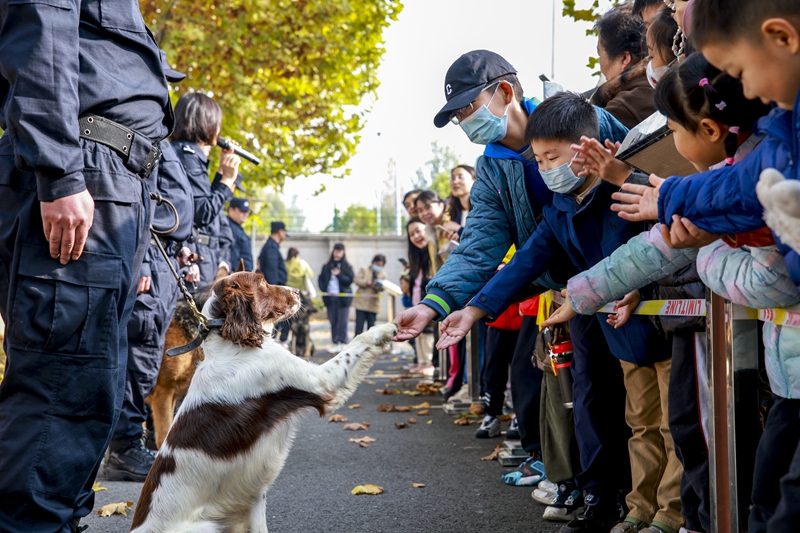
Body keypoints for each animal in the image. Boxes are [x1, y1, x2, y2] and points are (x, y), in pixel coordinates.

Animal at [131, 272, 396, 528]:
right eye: (261, 282)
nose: (297, 291)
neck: (232, 345)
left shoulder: (255, 499)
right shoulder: (321, 381)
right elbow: (357, 342)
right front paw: (388, 328)